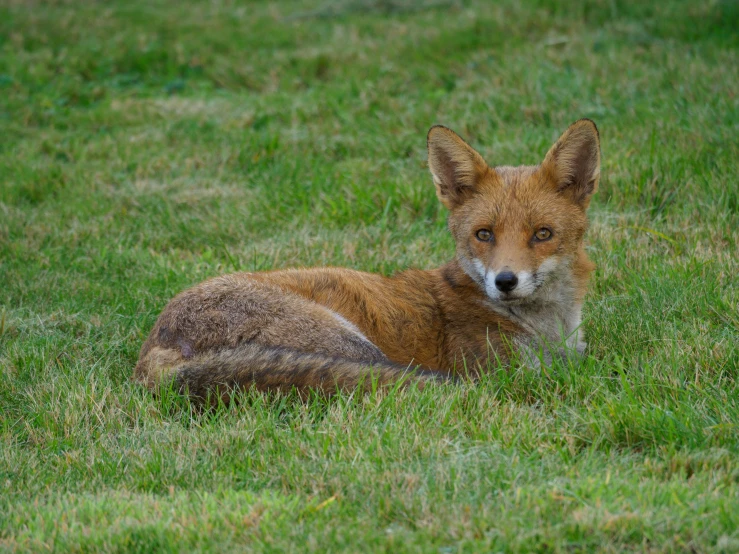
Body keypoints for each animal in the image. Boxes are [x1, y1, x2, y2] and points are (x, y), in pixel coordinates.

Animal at [134, 118, 600, 398]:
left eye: (542, 234)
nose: (505, 281)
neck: (549, 333)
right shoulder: (508, 372)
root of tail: (153, 351)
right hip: (354, 347)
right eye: (484, 235)